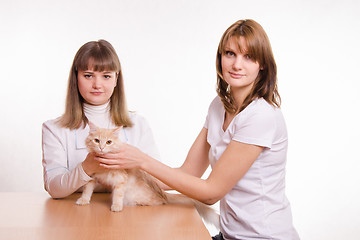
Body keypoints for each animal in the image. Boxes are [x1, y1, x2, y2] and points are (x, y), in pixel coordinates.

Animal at [76, 122, 219, 229]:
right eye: (97, 140)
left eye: (109, 142)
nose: (101, 148)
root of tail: (162, 192)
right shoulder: (91, 176)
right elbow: (87, 190)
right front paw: (84, 200)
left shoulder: (121, 180)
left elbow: (117, 195)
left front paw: (116, 206)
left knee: (160, 202)